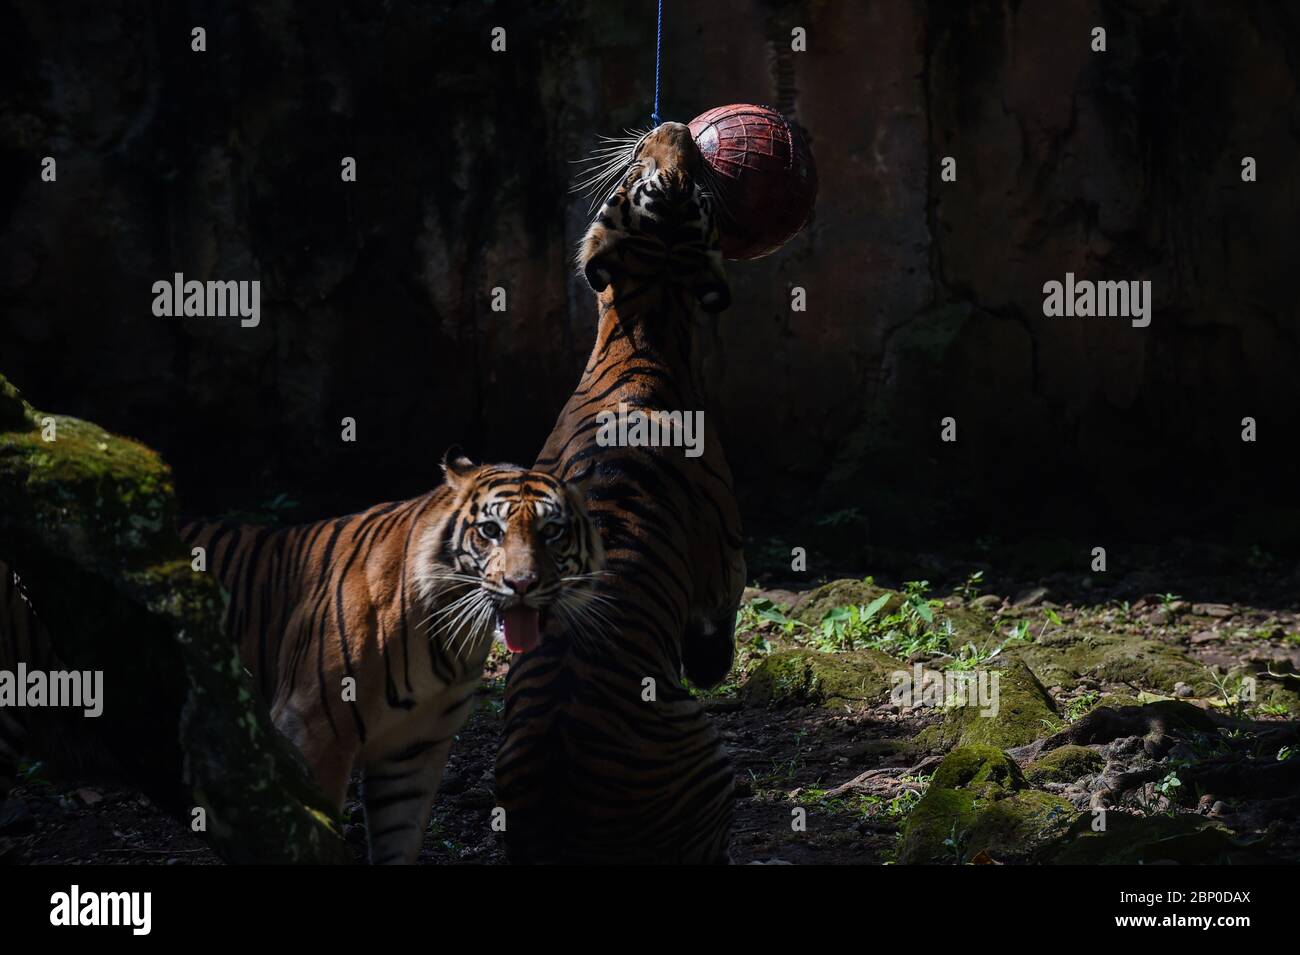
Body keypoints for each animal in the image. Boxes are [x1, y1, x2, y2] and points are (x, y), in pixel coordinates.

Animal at [163, 454, 603, 867]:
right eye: (491, 531)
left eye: (552, 531)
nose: (522, 584)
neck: (454, 640)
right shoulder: (311, 730)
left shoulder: (412, 750)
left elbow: (399, 838)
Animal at [491, 121, 748, 867]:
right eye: (644, 174)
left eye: (683, 182)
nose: (677, 127)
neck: (648, 323)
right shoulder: (726, 560)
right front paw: (713, 663)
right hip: (709, 753)